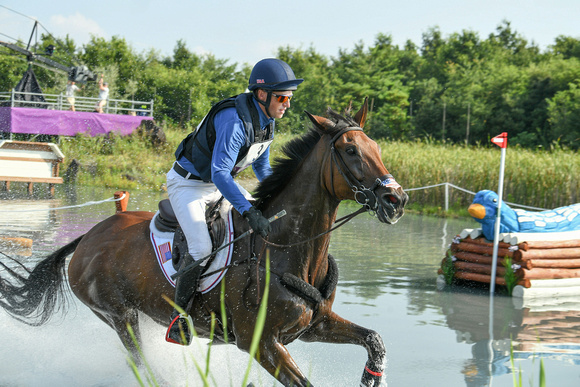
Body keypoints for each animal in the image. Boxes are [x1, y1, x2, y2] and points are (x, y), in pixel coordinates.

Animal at [0, 98, 408, 386]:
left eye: (377, 148)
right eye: (351, 151)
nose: (397, 200)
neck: (282, 249)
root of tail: (87, 237)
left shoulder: (314, 326)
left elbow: (374, 340)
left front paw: (371, 378)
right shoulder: (261, 344)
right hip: (120, 317)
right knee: (141, 362)